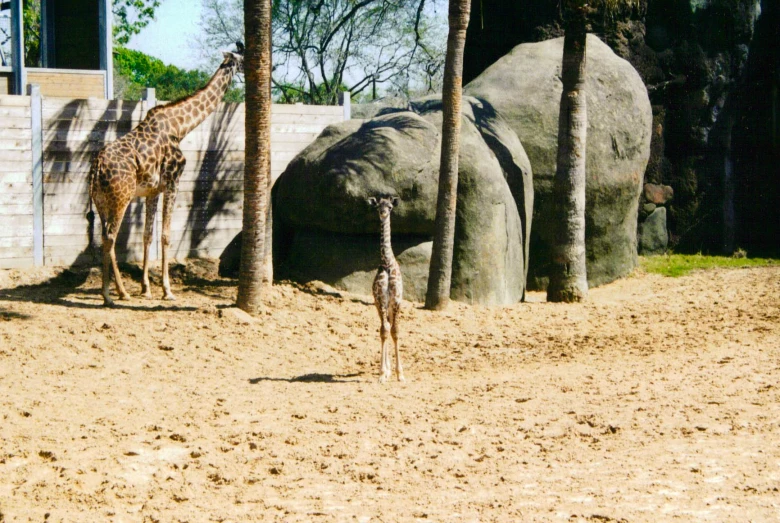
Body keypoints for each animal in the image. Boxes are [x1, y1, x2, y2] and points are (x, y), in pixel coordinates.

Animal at [88, 46, 242, 308]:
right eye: (242, 58)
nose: (267, 66)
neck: (180, 126)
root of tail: (97, 167)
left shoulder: (152, 190)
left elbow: (148, 235)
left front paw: (146, 288)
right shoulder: (173, 181)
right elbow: (166, 235)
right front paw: (167, 290)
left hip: (101, 201)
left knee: (105, 237)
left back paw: (122, 291)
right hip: (121, 198)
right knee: (110, 237)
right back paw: (110, 295)